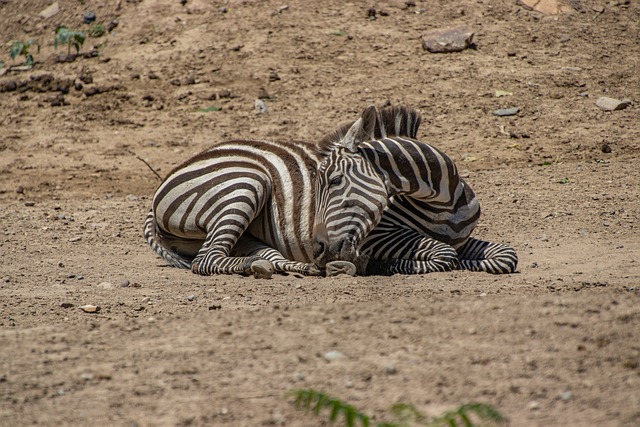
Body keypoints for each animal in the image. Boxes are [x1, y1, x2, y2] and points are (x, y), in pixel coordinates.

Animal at [312, 105, 518, 275]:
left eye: (335, 180)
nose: (317, 249)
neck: (444, 204)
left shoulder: (462, 241)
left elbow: (507, 255)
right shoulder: (377, 237)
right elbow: (446, 254)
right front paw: (378, 265)